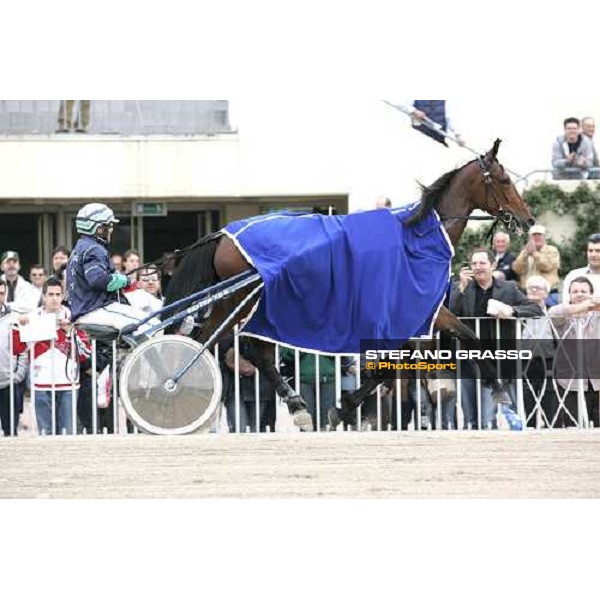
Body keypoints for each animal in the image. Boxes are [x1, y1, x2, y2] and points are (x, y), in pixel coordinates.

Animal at [163, 139, 536, 432]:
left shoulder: (422, 312)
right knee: (226, 346)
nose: (528, 219)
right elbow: (392, 365)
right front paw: (343, 407)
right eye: (504, 180)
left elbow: (464, 337)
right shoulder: (399, 311)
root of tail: (224, 234)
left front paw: (500, 392)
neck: (416, 238)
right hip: (243, 299)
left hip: (241, 302)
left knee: (225, 344)